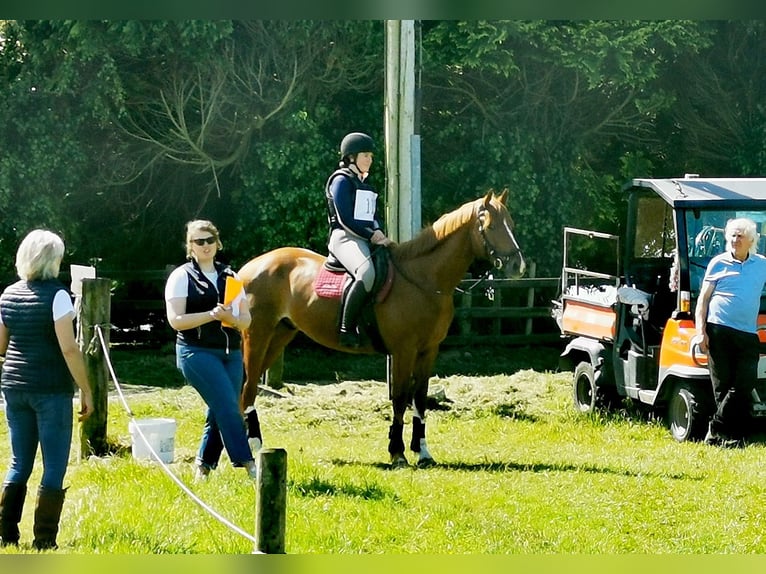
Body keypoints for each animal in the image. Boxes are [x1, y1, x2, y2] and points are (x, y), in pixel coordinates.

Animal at [242, 191, 528, 470]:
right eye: (491, 226)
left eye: (512, 225)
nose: (519, 266)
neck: (423, 280)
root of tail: (250, 267)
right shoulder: (404, 351)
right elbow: (400, 398)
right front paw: (398, 453)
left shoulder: (428, 351)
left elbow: (420, 399)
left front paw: (423, 453)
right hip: (257, 337)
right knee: (248, 389)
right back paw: (254, 449)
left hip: (279, 336)